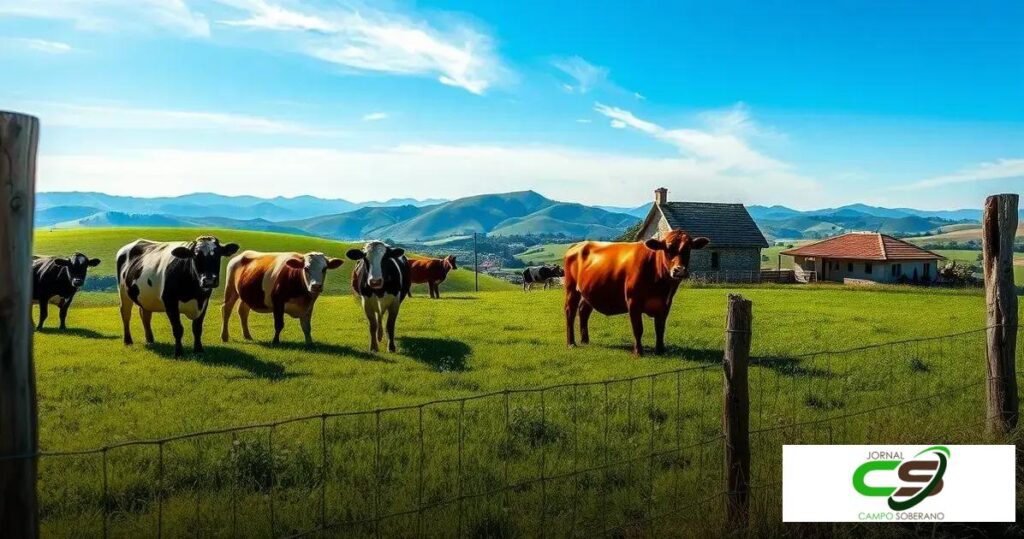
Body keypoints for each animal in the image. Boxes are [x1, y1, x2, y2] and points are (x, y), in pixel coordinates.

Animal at [563, 230, 709, 356]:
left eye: (688, 248)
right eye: (667, 248)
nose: (680, 270)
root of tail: (578, 244)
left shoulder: (665, 304)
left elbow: (660, 328)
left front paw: (660, 350)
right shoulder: (633, 302)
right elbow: (638, 328)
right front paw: (638, 352)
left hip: (588, 291)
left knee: (583, 311)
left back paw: (585, 340)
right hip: (571, 288)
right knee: (570, 312)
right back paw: (571, 343)